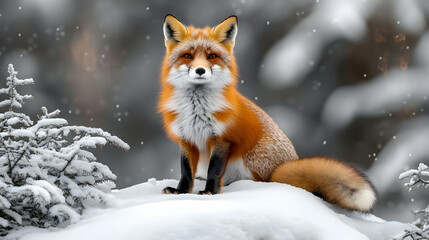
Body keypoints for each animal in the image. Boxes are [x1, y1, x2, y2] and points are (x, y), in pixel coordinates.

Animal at [157, 14, 374, 211]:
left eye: (212, 56)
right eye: (188, 56)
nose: (200, 70)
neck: (197, 110)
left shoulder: (222, 139)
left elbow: (214, 170)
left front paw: (210, 192)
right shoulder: (186, 138)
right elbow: (186, 171)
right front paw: (180, 191)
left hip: (251, 160)